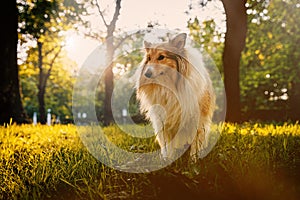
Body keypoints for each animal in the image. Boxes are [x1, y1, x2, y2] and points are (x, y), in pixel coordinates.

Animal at [135, 32, 214, 161]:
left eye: (161, 57)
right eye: (149, 58)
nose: (146, 74)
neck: (170, 87)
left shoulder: (196, 118)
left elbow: (195, 143)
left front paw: (193, 161)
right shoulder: (164, 120)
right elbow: (168, 144)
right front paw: (169, 160)